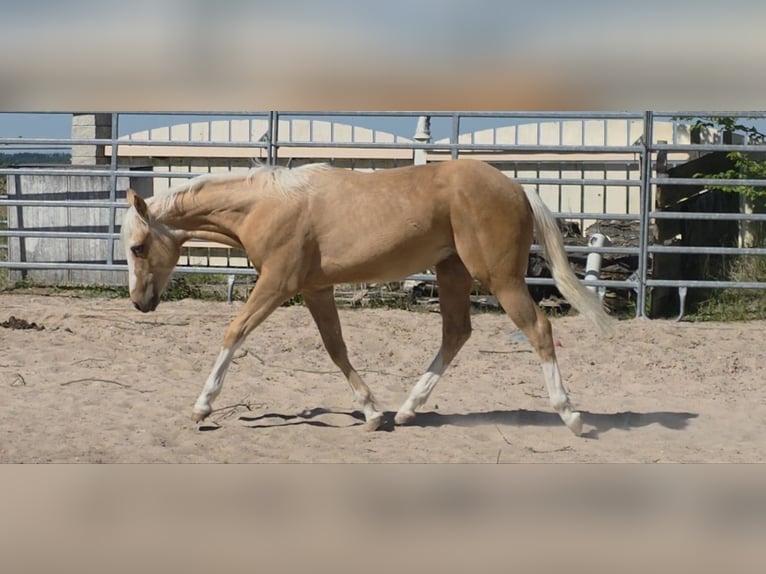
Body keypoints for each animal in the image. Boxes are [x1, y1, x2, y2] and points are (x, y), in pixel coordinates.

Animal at [122, 159, 612, 435]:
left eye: (138, 247)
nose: (139, 302)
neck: (267, 205)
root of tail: (517, 188)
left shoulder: (277, 284)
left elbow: (234, 332)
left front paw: (202, 408)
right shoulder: (315, 289)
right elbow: (336, 348)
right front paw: (373, 413)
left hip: (499, 276)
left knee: (538, 329)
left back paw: (572, 417)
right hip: (452, 271)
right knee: (456, 332)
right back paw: (408, 411)